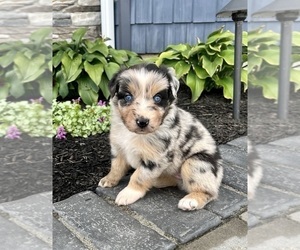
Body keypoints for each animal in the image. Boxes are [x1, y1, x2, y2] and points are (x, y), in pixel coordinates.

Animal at [98, 63, 223, 210]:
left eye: (157, 98)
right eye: (128, 97)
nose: (142, 122)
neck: (134, 134)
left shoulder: (155, 158)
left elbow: (138, 176)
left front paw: (128, 193)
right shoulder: (119, 149)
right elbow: (116, 167)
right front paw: (109, 179)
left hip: (197, 162)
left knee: (209, 192)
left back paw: (191, 200)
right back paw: (158, 181)